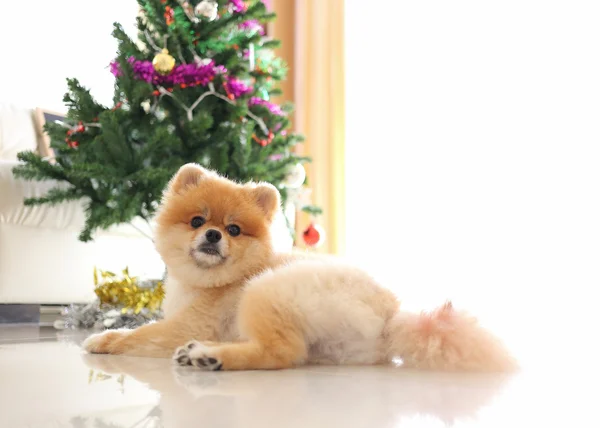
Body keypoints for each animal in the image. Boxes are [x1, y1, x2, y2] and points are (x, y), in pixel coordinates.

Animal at [83, 164, 516, 372]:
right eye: (196, 221)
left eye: (234, 229)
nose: (213, 235)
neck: (207, 284)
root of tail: (393, 319)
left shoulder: (187, 323)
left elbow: (141, 333)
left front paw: (105, 338)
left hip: (265, 291)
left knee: (280, 353)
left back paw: (211, 356)